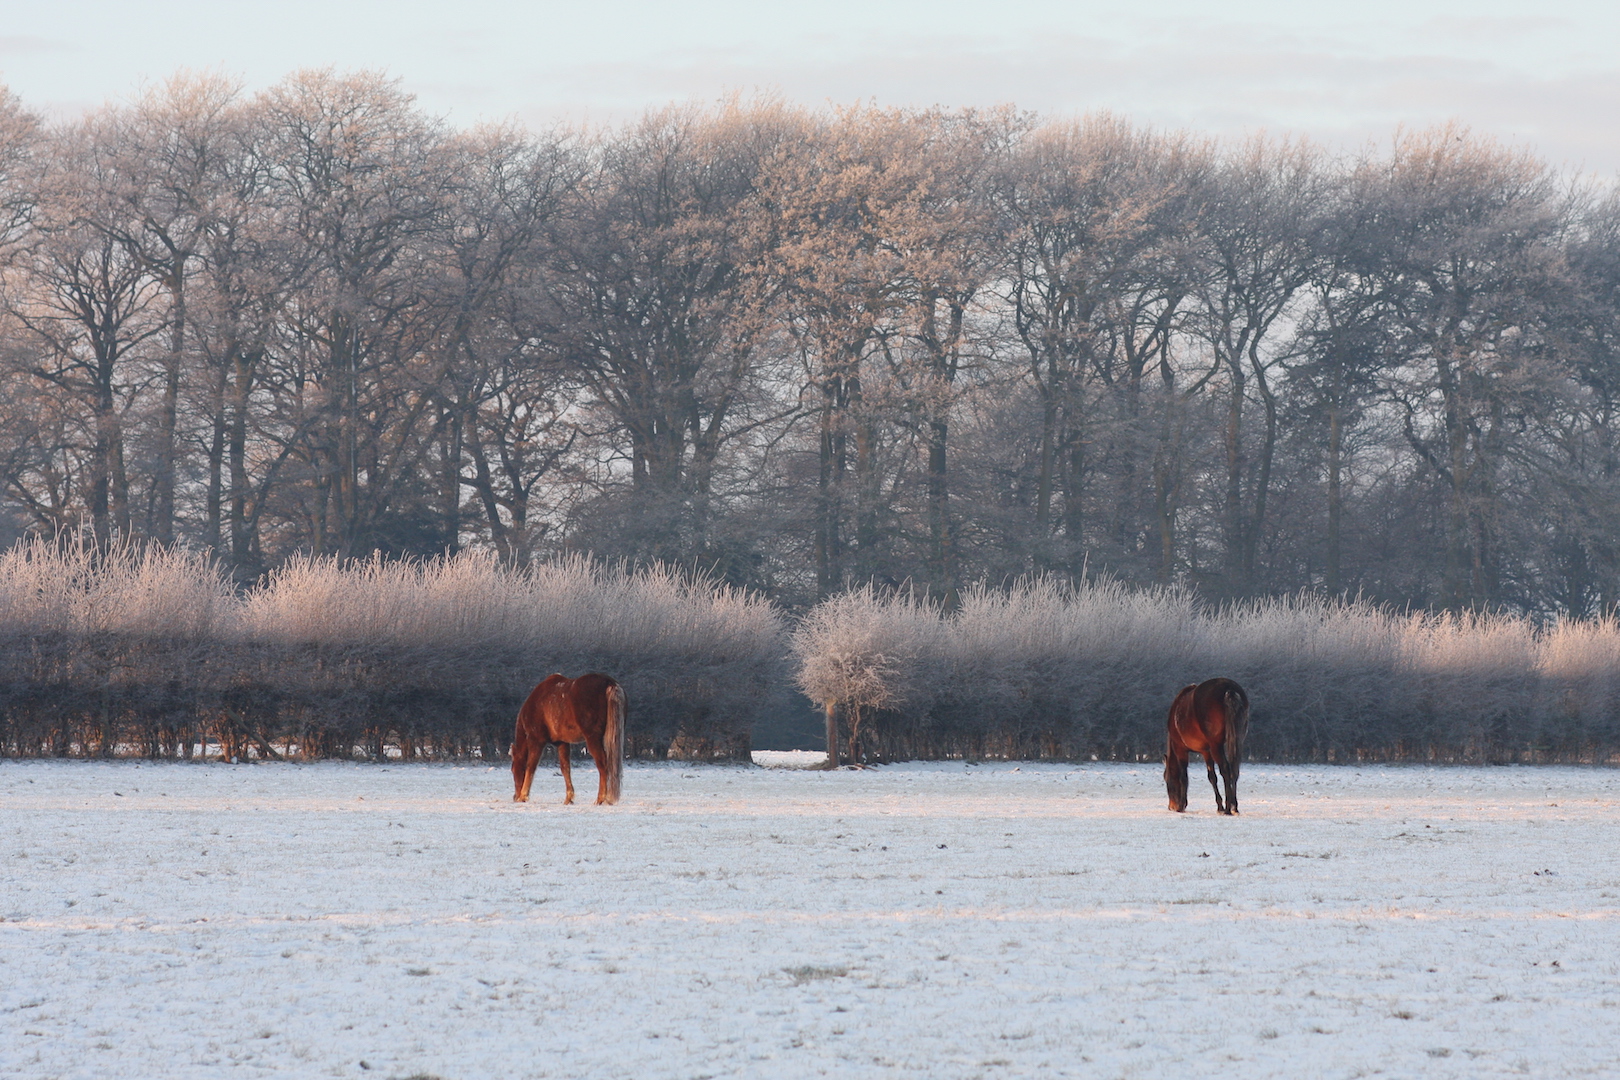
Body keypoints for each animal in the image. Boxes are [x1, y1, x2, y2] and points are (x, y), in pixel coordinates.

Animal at [1166, 680, 1250, 816]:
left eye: (1166, 780)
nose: (1171, 806)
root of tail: (1229, 689)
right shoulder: (1206, 751)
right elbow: (1212, 777)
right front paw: (1219, 806)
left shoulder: (1180, 749)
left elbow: (1183, 776)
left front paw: (1181, 806)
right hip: (1237, 740)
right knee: (1234, 769)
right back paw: (1234, 807)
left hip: (1216, 746)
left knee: (1225, 769)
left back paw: (1228, 808)